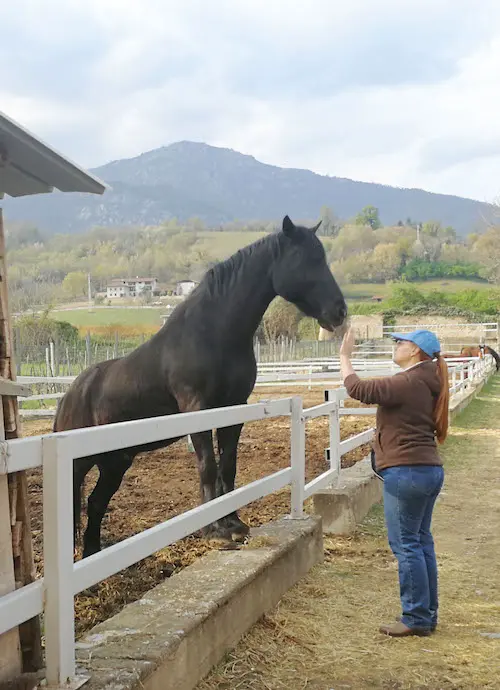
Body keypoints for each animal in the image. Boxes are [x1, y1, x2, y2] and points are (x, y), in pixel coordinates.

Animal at [54, 215, 347, 558]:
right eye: (307, 259)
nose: (339, 311)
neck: (213, 334)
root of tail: (71, 393)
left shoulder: (234, 409)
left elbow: (228, 467)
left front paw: (234, 524)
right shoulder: (198, 409)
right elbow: (207, 466)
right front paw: (215, 531)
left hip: (116, 461)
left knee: (96, 502)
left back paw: (92, 553)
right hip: (80, 464)